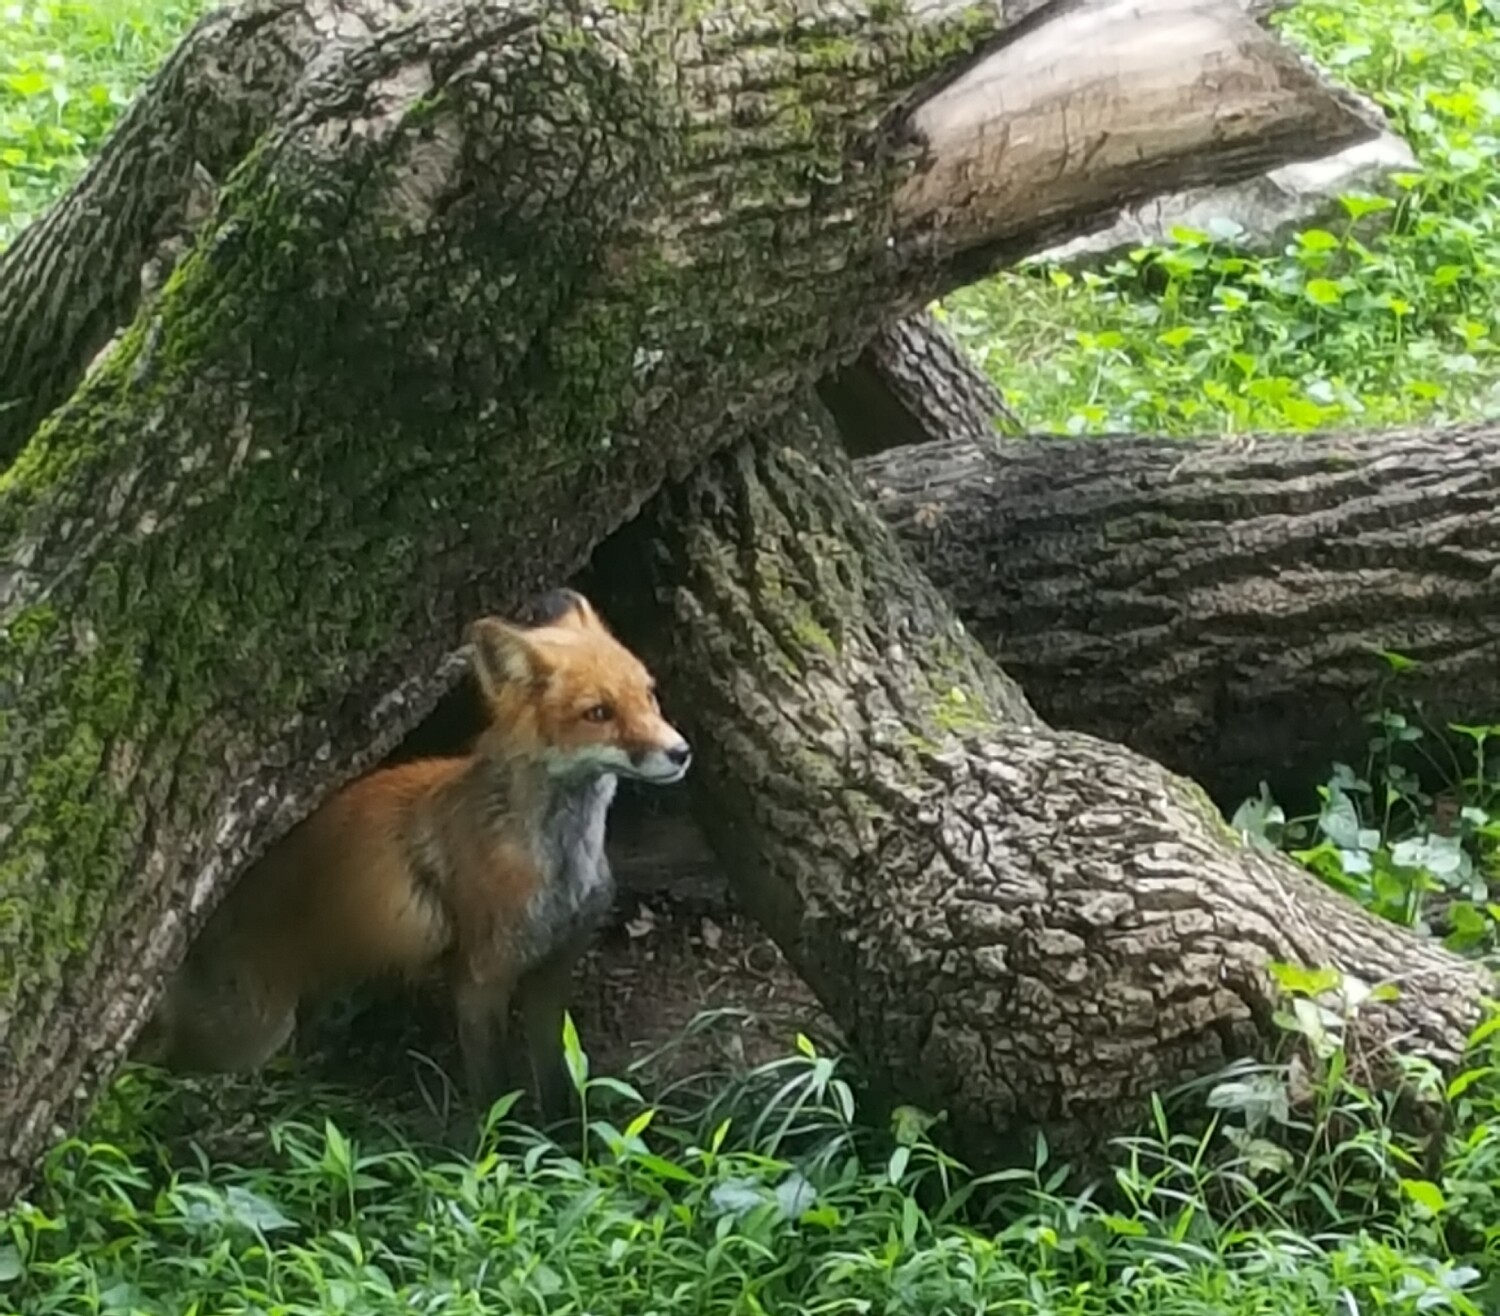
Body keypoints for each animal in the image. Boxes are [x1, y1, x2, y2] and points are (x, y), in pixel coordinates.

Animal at [135, 589, 691, 1118]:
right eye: (598, 713)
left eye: (648, 693)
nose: (682, 752)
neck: (559, 865)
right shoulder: (480, 977)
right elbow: (494, 1092)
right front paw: (498, 1144)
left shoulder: (553, 970)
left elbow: (556, 1080)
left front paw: (567, 1140)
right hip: (253, 1032)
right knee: (156, 1066)